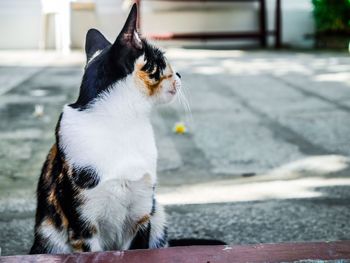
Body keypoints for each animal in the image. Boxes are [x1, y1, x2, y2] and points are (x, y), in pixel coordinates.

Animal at [29, 4, 182, 255]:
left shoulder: (142, 216)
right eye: (162, 61)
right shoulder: (83, 227)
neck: (124, 123)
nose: (179, 74)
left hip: (157, 215)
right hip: (49, 236)